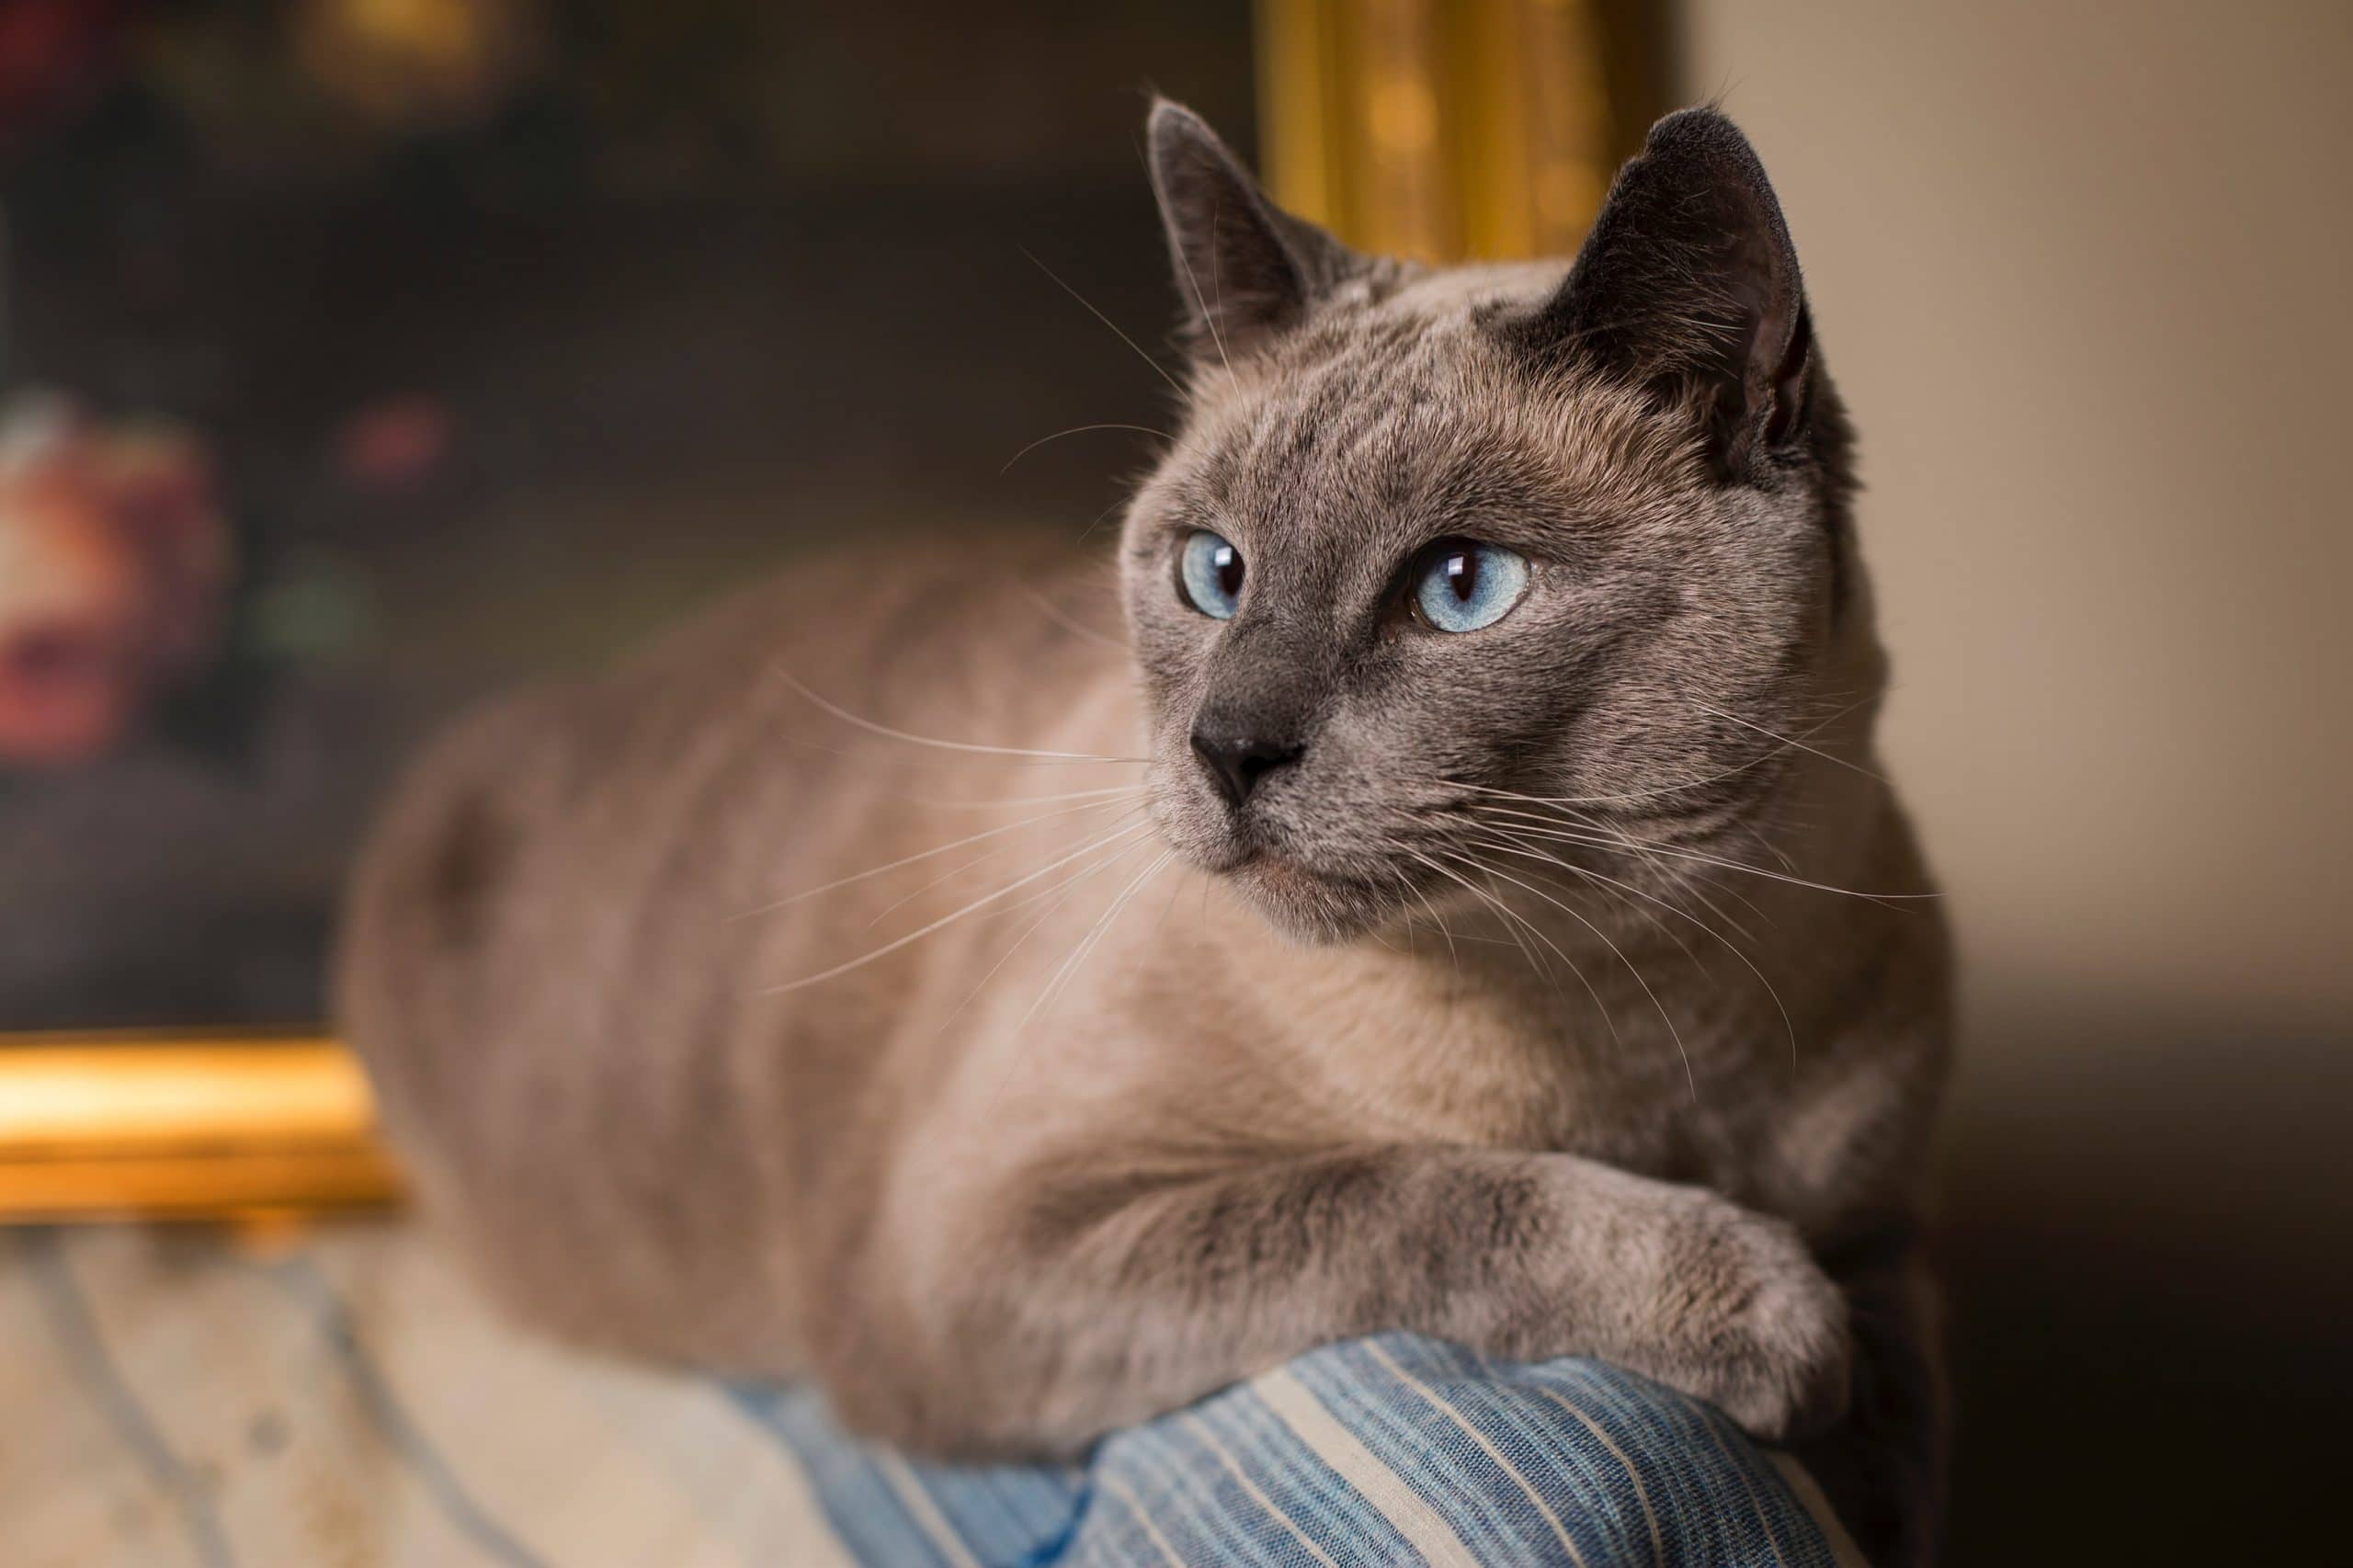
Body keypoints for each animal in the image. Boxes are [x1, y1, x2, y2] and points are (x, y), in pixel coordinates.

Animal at [331, 103, 1948, 1553]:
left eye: (1462, 587)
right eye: (1213, 573)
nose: (1227, 748)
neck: (1652, 1034)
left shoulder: (1895, 1232)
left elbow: (1899, 1428)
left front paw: (1852, 1435)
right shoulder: (994, 1252)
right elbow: (1424, 1196)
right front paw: (1764, 1314)